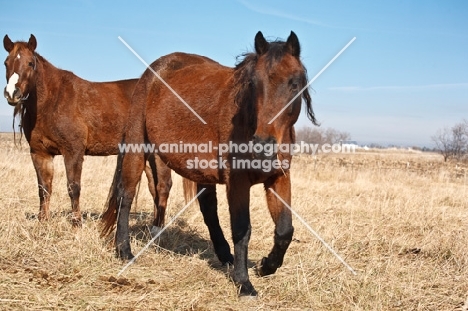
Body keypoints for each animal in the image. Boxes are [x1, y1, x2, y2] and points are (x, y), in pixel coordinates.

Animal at [3, 34, 172, 229]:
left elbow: (73, 187)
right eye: (6, 63)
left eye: (30, 63)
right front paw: (42, 221)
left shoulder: (73, 151)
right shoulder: (40, 153)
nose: (12, 93)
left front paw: (76, 223)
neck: (52, 101)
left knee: (163, 186)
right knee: (154, 187)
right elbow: (44, 188)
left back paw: (157, 228)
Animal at [100, 31, 316, 298]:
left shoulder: (279, 177)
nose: (262, 145)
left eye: (294, 84)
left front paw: (266, 266)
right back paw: (124, 251)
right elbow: (242, 229)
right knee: (126, 195)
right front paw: (244, 283)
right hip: (136, 147)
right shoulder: (237, 182)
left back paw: (225, 255)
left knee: (208, 209)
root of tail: (154, 70)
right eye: (254, 84)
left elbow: (285, 229)